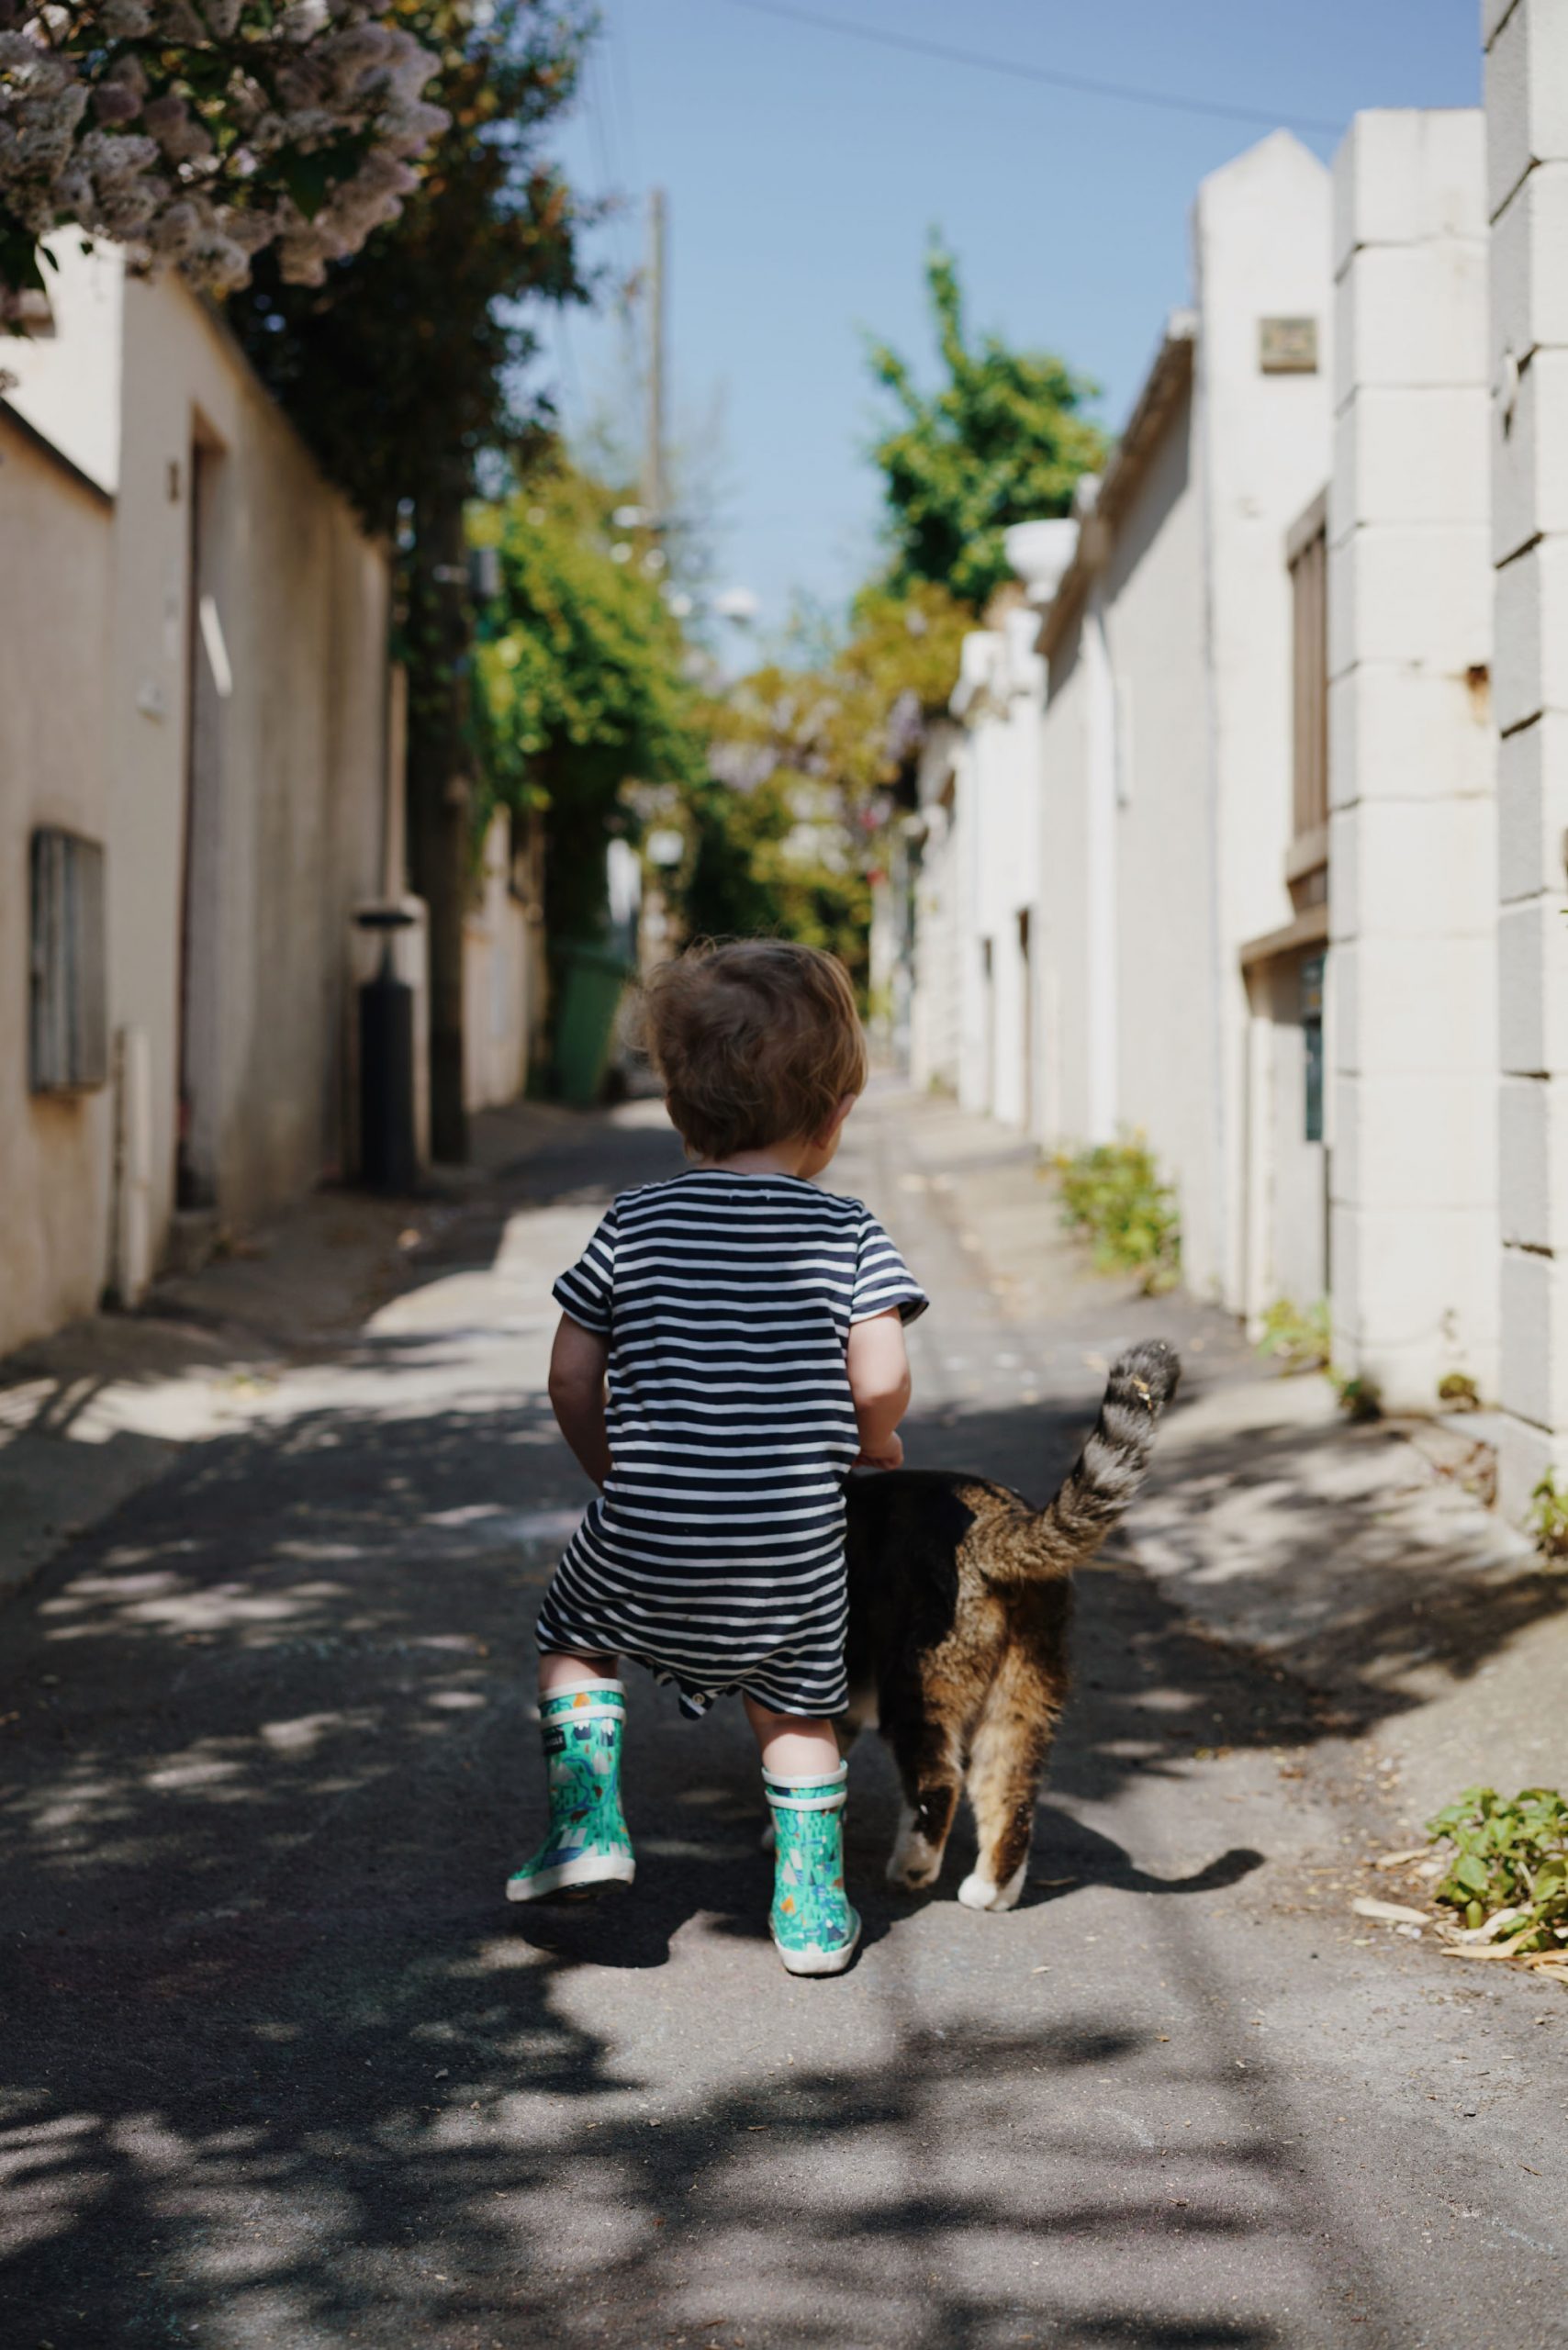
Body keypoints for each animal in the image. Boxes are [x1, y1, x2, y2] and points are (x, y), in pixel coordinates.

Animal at [846, 1344, 1175, 1908]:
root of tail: (998, 1522)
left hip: (921, 1680)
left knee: (939, 1780)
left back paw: (913, 1868)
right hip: (1025, 1688)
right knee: (1011, 1790)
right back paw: (990, 1891)